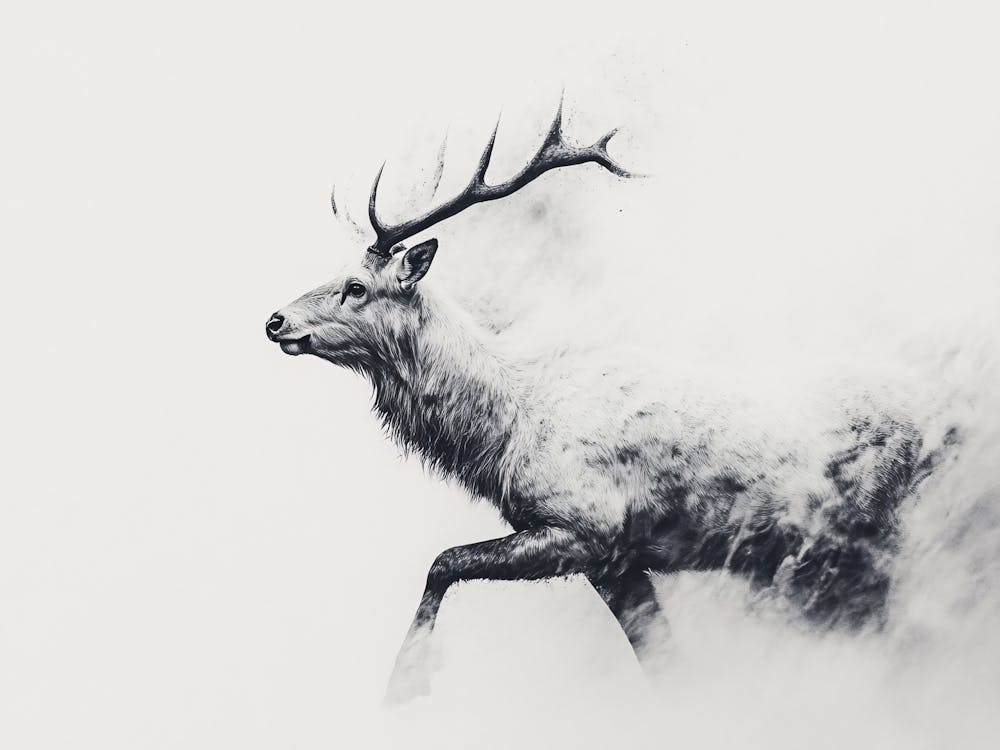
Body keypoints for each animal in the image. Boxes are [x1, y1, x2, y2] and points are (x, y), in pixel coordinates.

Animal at [265, 102, 957, 704]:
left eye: (356, 286)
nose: (275, 320)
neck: (503, 433)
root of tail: (942, 424)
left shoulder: (584, 525)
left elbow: (442, 562)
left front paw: (405, 685)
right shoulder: (615, 561)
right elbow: (662, 662)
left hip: (866, 535)